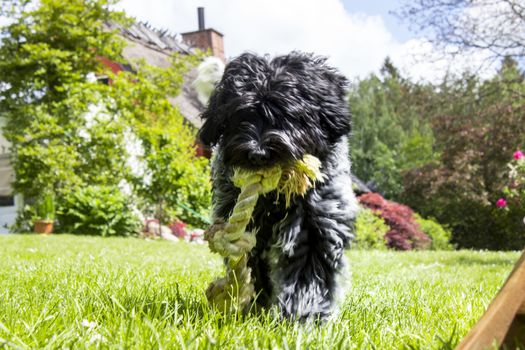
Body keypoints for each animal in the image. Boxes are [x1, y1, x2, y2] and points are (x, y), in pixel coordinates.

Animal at [199, 51, 358, 320]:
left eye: (287, 114)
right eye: (240, 115)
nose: (258, 154)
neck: (276, 197)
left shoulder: (315, 227)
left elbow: (308, 276)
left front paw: (305, 316)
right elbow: (254, 266)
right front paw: (260, 305)